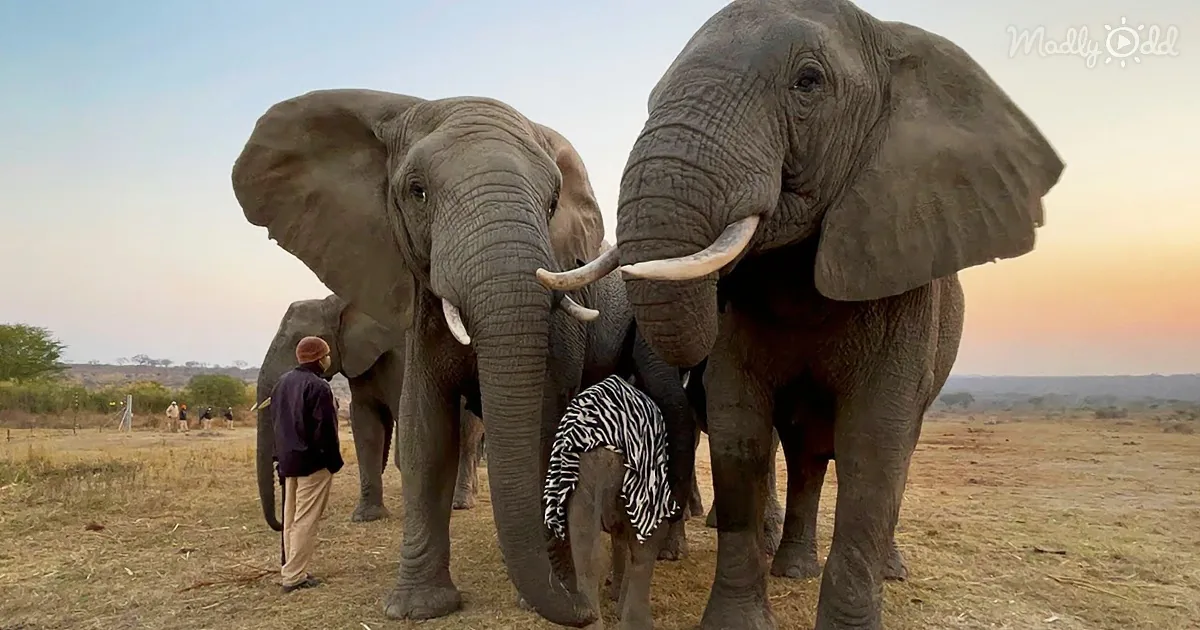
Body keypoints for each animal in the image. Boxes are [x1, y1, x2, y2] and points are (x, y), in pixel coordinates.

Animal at [251, 294, 487, 532]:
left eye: (302, 341)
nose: (281, 524)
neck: (336, 304)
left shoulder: (402, 354)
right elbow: (366, 426)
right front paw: (367, 516)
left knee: (467, 438)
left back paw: (460, 503)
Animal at [535, 1, 1065, 627]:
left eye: (808, 83)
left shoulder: (903, 266)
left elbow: (875, 442)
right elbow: (740, 431)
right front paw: (736, 621)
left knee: (892, 446)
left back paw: (886, 570)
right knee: (805, 454)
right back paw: (791, 568)